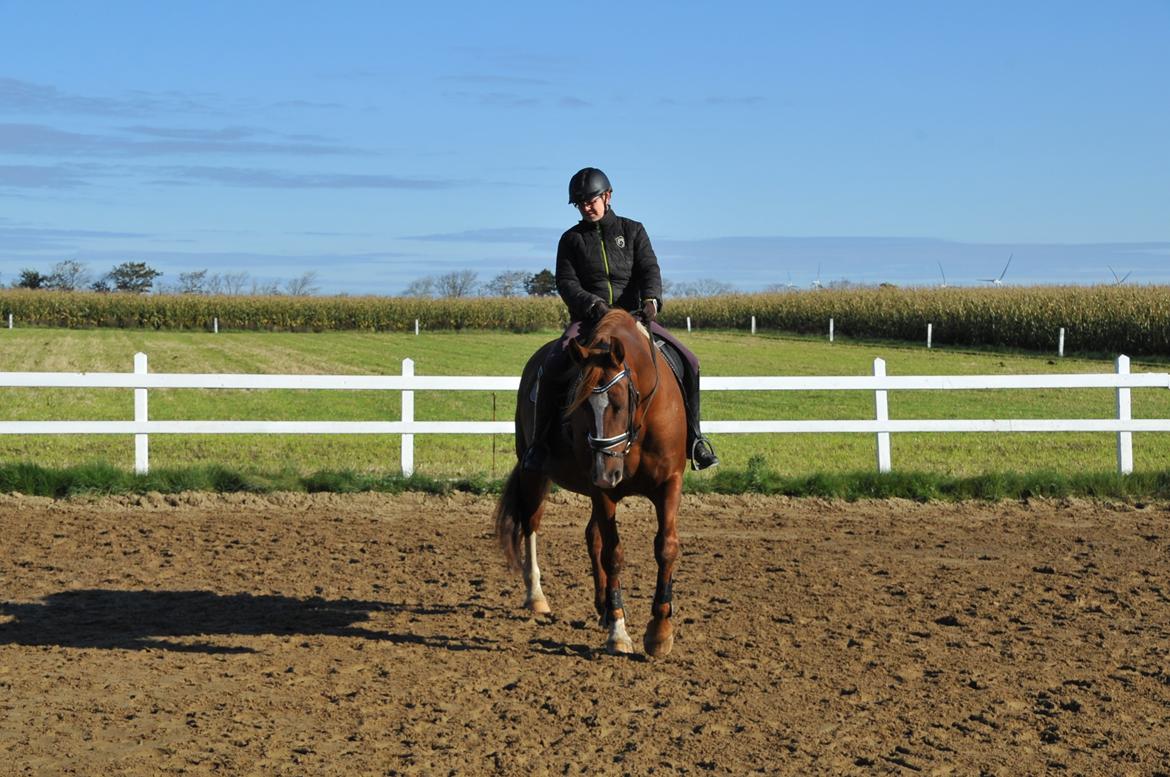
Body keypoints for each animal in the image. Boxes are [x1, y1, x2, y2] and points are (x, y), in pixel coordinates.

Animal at [491, 308, 687, 655]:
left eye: (620, 402)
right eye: (580, 405)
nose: (606, 473)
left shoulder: (669, 484)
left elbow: (665, 547)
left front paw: (660, 630)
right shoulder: (602, 491)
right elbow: (613, 554)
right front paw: (619, 633)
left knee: (591, 536)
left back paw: (603, 607)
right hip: (535, 473)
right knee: (531, 524)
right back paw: (537, 596)